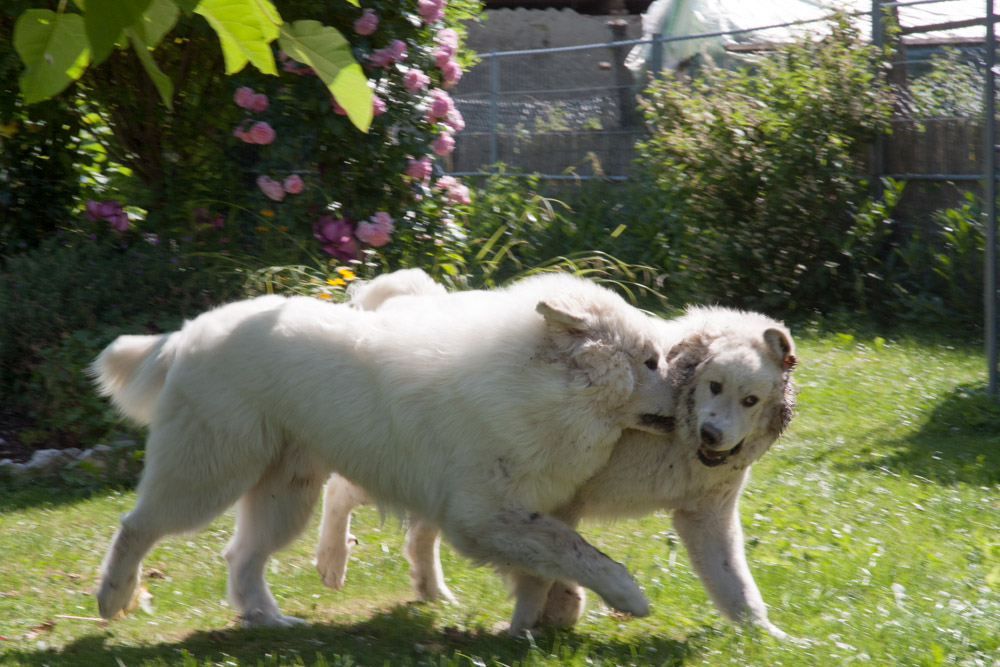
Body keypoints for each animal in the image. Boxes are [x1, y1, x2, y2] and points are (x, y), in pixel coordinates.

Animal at [90, 270, 680, 628]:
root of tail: (188, 333)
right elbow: (577, 550)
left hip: (285, 494)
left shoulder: (510, 512)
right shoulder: (483, 516)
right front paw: (627, 596)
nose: (689, 388)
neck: (536, 389)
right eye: (651, 361)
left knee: (243, 557)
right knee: (137, 526)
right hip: (208, 475)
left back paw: (271, 621)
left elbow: (549, 559)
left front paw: (542, 613)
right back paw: (113, 598)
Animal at [312, 274, 796, 640]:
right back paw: (332, 562)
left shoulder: (706, 516)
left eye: (750, 400)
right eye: (713, 385)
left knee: (417, 532)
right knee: (342, 489)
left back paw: (432, 590)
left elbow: (735, 585)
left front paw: (768, 638)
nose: (711, 433)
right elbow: (553, 561)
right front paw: (536, 623)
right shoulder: (552, 499)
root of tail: (402, 302)